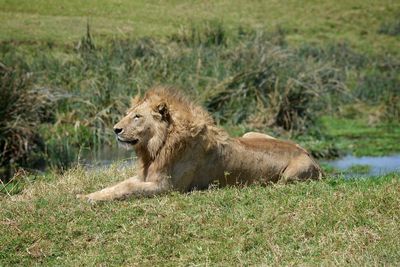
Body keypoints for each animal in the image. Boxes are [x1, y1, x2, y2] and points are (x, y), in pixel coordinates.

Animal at [78, 86, 322, 201]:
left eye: (137, 117)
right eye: (128, 114)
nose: (115, 129)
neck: (157, 148)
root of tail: (310, 154)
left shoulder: (168, 188)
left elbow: (127, 189)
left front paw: (90, 199)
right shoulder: (145, 177)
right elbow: (116, 186)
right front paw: (85, 196)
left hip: (290, 176)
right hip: (250, 132)